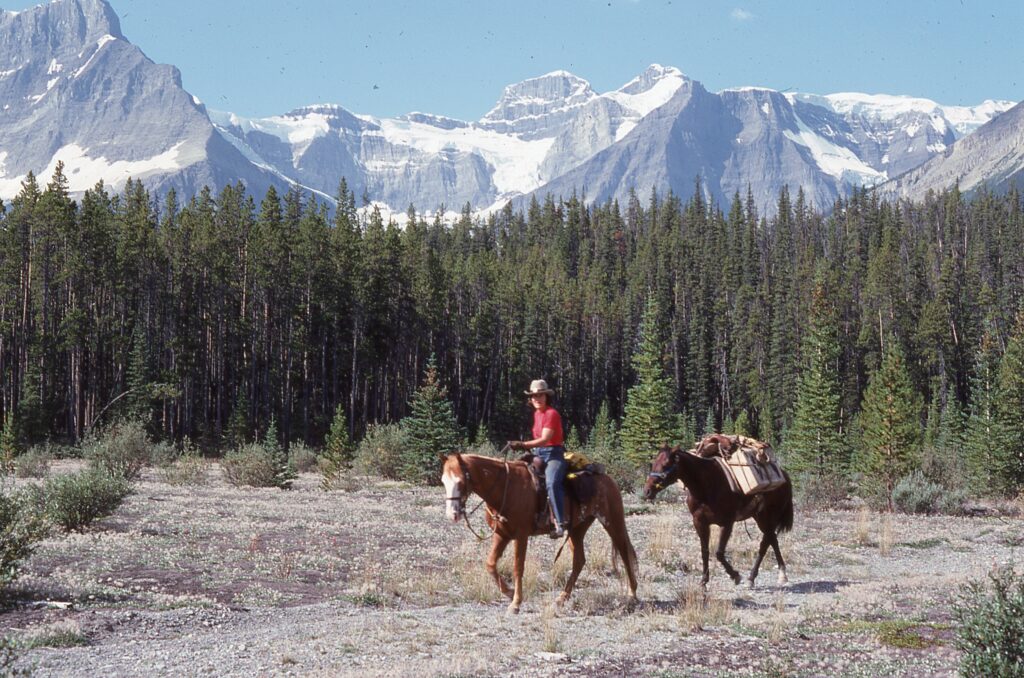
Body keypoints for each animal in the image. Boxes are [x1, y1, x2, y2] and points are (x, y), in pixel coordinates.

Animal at [442, 454, 638, 614]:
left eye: (460, 481)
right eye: (443, 481)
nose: (452, 514)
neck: (506, 487)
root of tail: (607, 478)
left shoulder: (521, 535)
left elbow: (518, 568)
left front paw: (516, 603)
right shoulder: (501, 534)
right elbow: (490, 564)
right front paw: (509, 593)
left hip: (612, 521)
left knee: (624, 552)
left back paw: (632, 594)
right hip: (577, 529)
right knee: (579, 561)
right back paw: (561, 598)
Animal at [643, 446, 794, 589]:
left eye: (665, 464)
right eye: (653, 463)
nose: (647, 491)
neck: (705, 486)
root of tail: (785, 476)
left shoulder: (727, 523)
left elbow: (719, 553)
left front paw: (735, 576)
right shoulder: (700, 522)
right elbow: (705, 551)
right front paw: (704, 581)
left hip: (767, 517)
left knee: (765, 543)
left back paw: (759, 577)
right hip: (760, 517)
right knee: (772, 539)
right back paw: (774, 575)